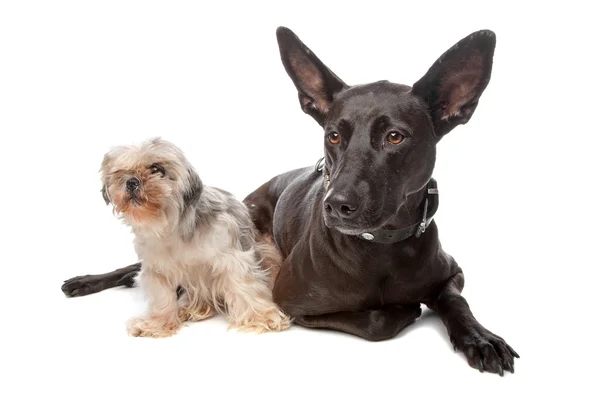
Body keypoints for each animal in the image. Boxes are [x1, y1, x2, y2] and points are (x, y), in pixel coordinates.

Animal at [99, 138, 290, 338]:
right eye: (120, 172)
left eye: (156, 169)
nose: (131, 182)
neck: (170, 226)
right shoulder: (157, 269)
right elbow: (162, 297)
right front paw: (158, 323)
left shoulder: (232, 260)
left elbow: (244, 287)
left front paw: (262, 316)